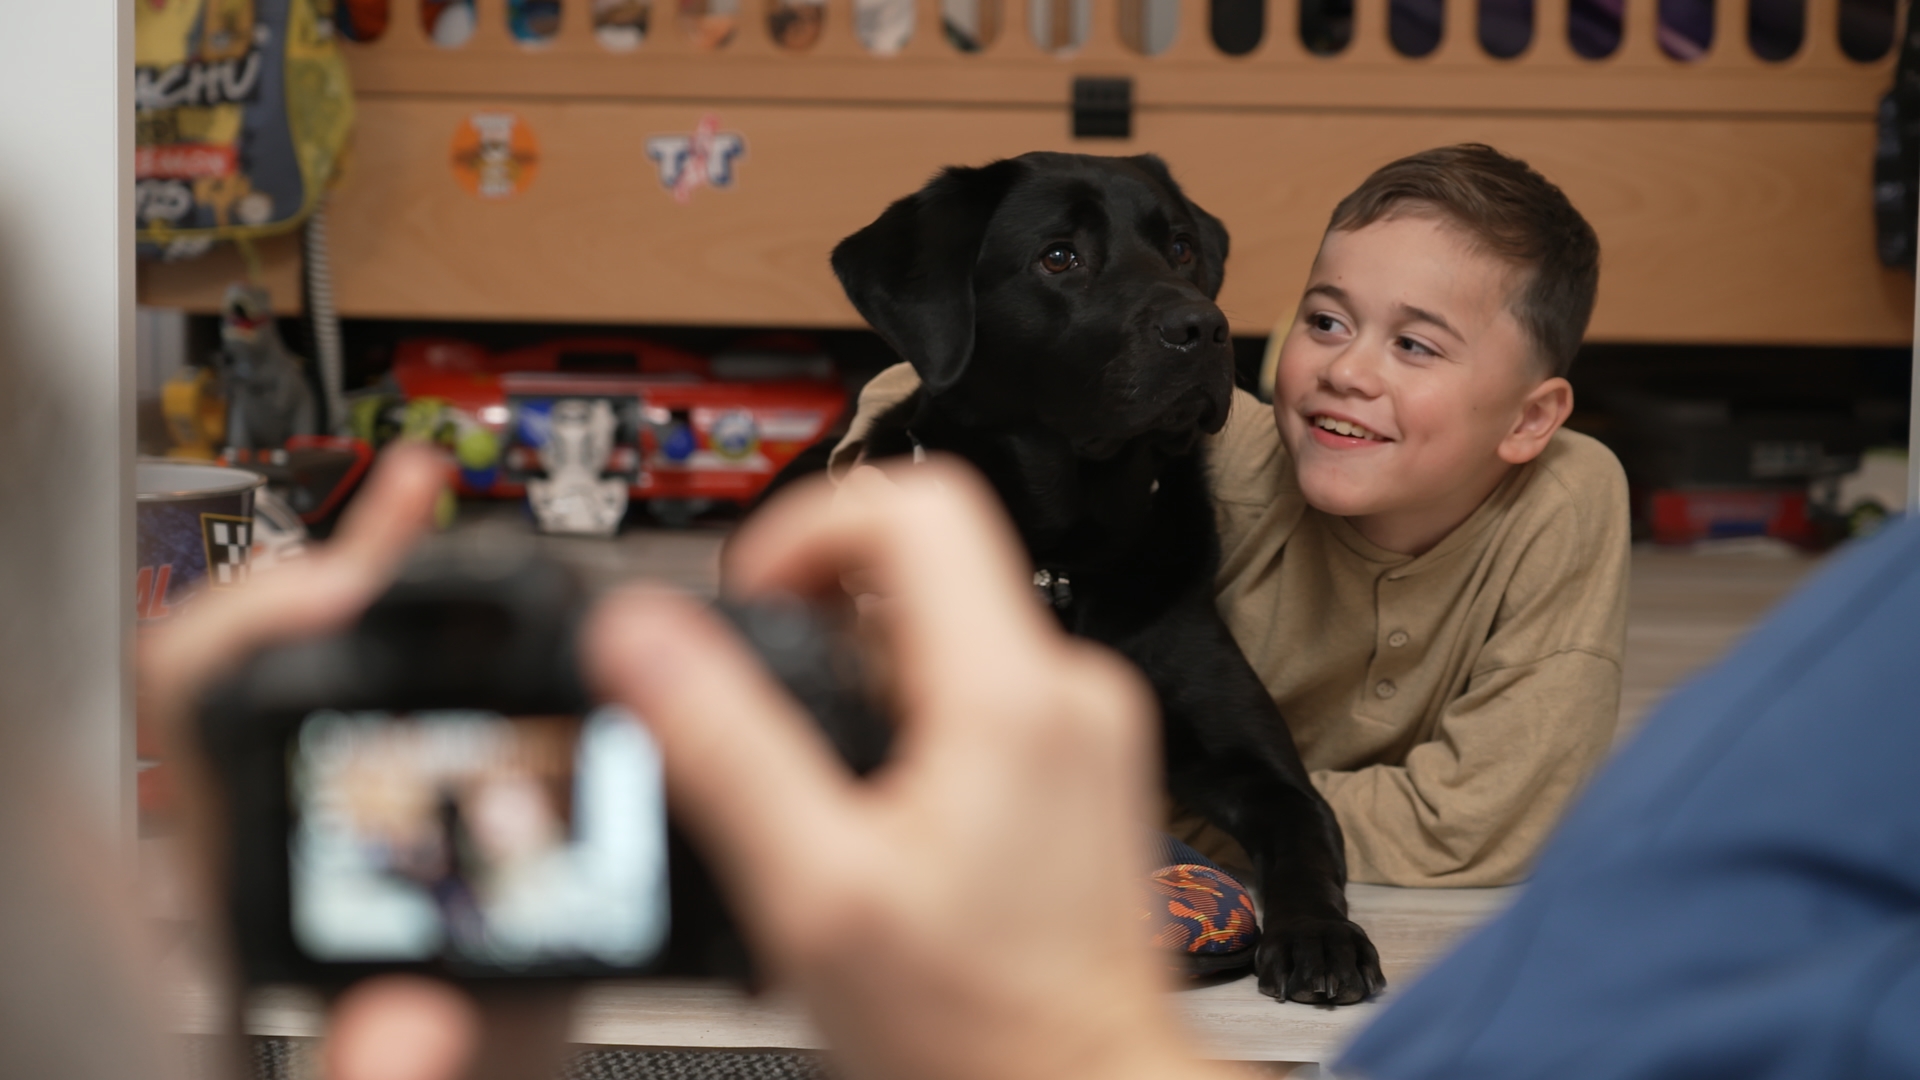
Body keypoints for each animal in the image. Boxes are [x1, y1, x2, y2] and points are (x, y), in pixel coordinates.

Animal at [798, 151, 1382, 999]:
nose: (1203, 328)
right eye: (1059, 256)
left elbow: (1304, 837)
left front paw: (1320, 936)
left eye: (1180, 249)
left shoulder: (1263, 770)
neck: (1064, 558)